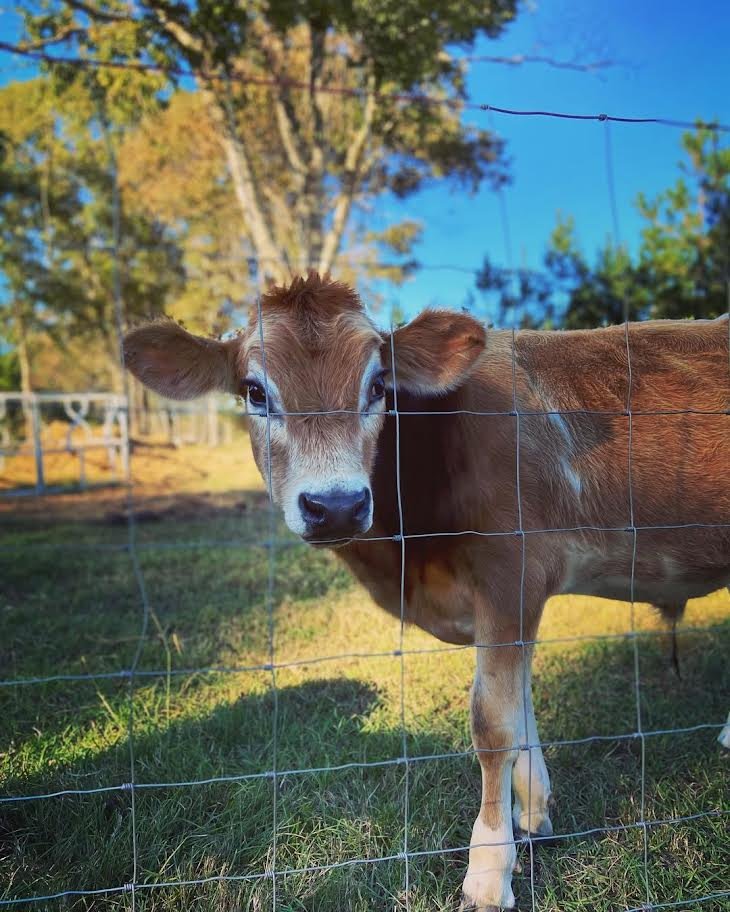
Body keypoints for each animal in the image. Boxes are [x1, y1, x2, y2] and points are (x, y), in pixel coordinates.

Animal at [123, 272, 730, 911]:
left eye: (377, 384)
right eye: (254, 391)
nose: (336, 505)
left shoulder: (510, 573)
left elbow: (494, 723)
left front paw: (488, 871)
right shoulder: (510, 605)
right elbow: (520, 709)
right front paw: (533, 814)